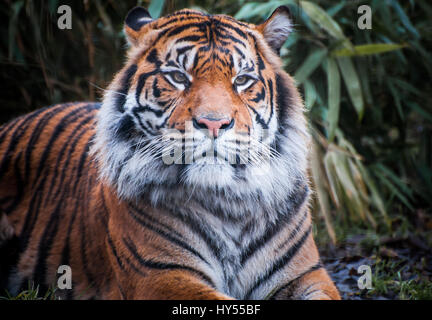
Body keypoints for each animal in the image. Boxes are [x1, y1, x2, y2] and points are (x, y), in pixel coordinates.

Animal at [0, 5, 340, 300]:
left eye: (242, 80)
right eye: (178, 77)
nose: (214, 123)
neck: (229, 204)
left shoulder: (306, 274)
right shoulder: (161, 275)